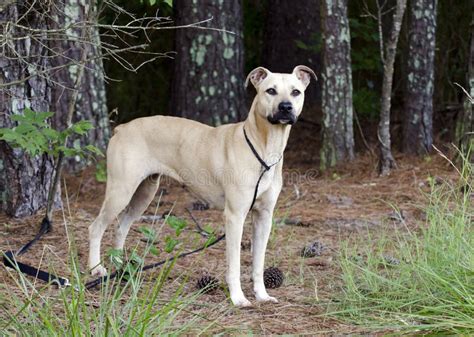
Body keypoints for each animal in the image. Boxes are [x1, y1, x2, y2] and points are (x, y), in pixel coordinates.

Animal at [88, 64, 318, 306]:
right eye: (271, 91)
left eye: (295, 92)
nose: (286, 107)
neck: (263, 146)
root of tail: (123, 128)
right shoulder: (235, 217)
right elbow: (234, 264)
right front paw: (238, 298)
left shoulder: (264, 217)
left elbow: (258, 262)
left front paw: (262, 295)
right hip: (121, 191)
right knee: (96, 227)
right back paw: (97, 269)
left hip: (144, 193)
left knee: (121, 227)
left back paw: (121, 268)